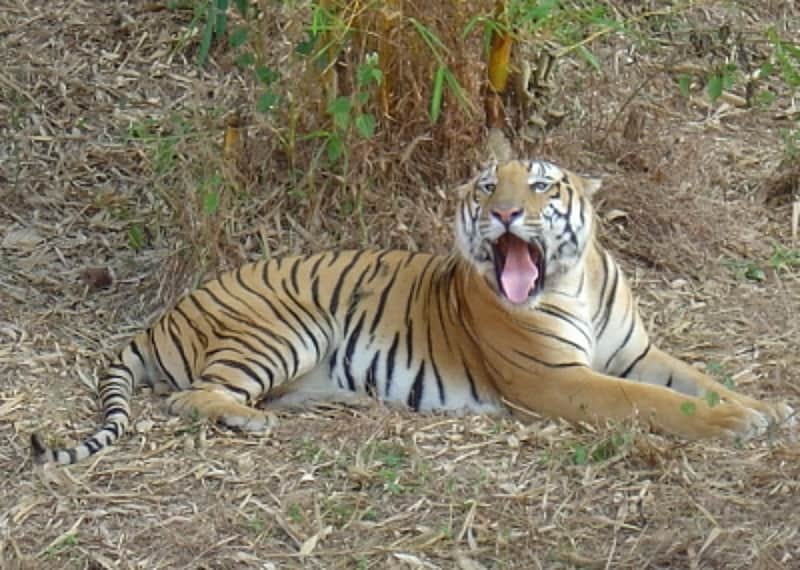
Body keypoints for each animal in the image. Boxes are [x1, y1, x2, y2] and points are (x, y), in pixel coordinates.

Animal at [32, 158, 794, 465]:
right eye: (487, 185)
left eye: (541, 186)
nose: (503, 212)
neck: (570, 280)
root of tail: (164, 314)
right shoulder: (558, 380)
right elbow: (653, 402)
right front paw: (738, 424)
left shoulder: (636, 352)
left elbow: (698, 381)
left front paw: (766, 406)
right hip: (283, 328)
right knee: (188, 398)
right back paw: (250, 421)